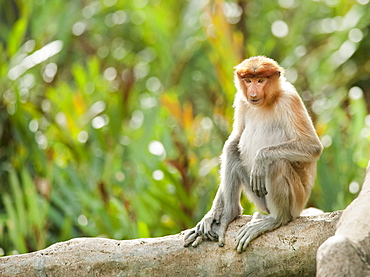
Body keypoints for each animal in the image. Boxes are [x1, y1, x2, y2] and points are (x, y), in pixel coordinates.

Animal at [184, 55, 322, 251]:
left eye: (261, 80)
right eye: (248, 80)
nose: (254, 93)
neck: (268, 101)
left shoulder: (289, 99)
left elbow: (312, 146)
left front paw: (260, 159)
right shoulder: (242, 101)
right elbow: (235, 138)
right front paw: (211, 215)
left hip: (297, 200)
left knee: (276, 164)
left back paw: (276, 219)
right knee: (232, 149)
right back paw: (230, 213)